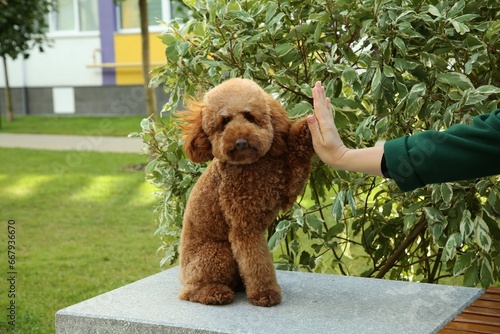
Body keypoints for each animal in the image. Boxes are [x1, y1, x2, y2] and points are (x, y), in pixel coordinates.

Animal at [177, 77, 312, 306]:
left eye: (249, 116)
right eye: (224, 122)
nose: (241, 142)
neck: (251, 166)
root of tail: (183, 276)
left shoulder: (284, 190)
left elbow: (299, 156)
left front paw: (310, 127)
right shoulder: (244, 225)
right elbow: (256, 262)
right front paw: (265, 293)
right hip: (217, 253)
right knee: (190, 292)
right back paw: (214, 292)